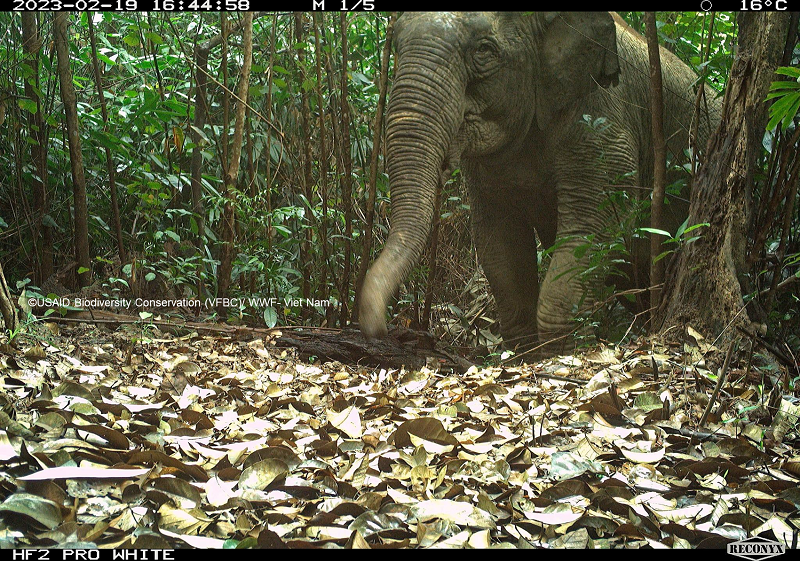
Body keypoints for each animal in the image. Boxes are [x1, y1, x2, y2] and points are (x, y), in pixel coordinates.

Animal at [360, 12, 720, 354]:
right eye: (396, 42)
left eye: (484, 50)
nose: (377, 328)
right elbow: (499, 241)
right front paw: (526, 354)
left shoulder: (603, 119)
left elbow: (592, 229)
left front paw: (561, 353)